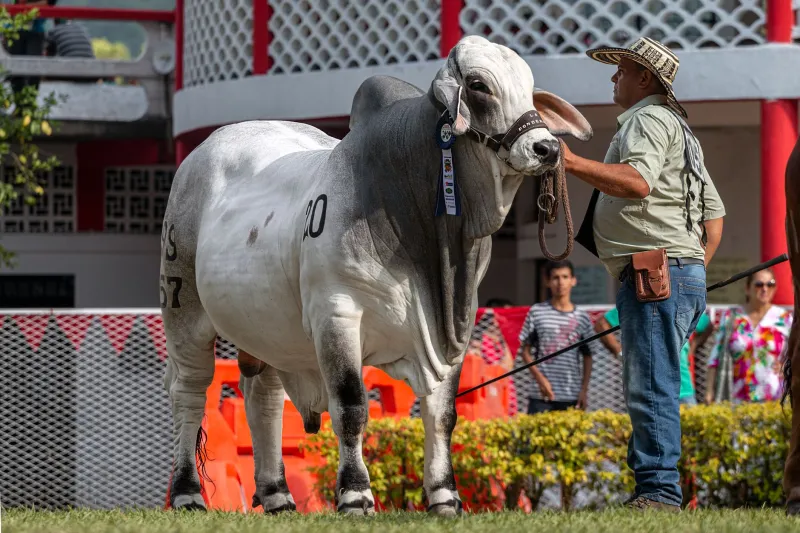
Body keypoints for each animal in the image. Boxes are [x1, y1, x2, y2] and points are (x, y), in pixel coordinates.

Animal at [161, 35, 593, 516]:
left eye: (530, 88)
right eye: (480, 86)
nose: (547, 149)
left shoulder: (455, 329)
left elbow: (442, 413)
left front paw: (445, 496)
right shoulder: (337, 315)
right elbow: (351, 407)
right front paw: (355, 494)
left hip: (267, 329)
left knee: (263, 397)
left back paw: (277, 496)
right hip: (182, 309)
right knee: (189, 394)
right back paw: (187, 493)